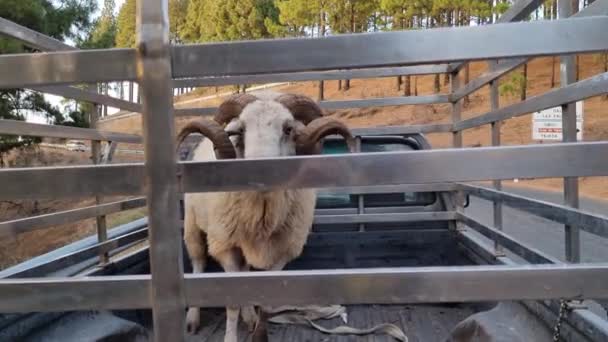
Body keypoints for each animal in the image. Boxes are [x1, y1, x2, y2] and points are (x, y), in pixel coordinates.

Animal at [176, 91, 354, 342]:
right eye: (241, 129)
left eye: (288, 129)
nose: (258, 171)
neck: (263, 211)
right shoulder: (226, 246)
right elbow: (232, 302)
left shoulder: (282, 251)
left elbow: (266, 300)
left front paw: (259, 332)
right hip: (193, 226)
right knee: (198, 263)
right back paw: (192, 319)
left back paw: (249, 317)